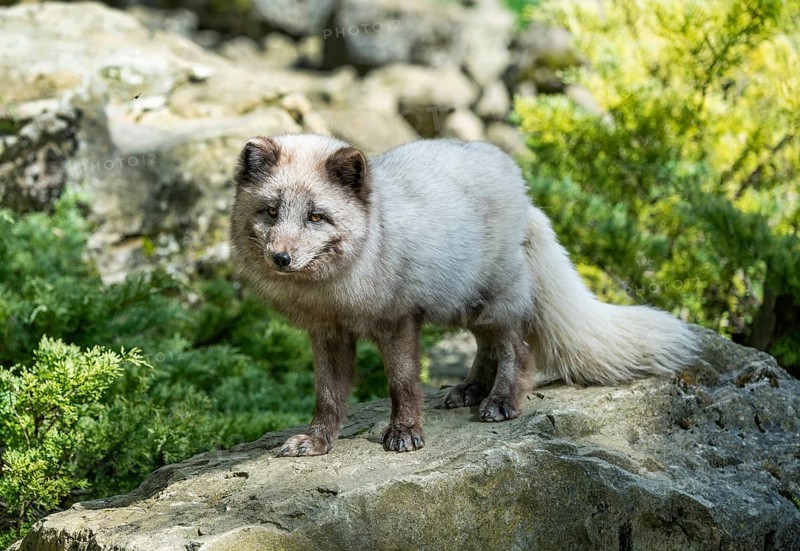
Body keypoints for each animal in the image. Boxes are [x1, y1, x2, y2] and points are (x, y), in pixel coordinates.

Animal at [229, 134, 698, 456]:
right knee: (486, 347)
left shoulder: (397, 321)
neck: (333, 291)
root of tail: (525, 192)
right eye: (270, 211)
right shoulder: (327, 333)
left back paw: (500, 401)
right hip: (464, 305)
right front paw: (317, 441)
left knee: (516, 349)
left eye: (316, 217)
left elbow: (403, 383)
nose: (281, 257)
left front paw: (405, 433)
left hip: (496, 299)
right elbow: (328, 395)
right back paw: (471, 389)